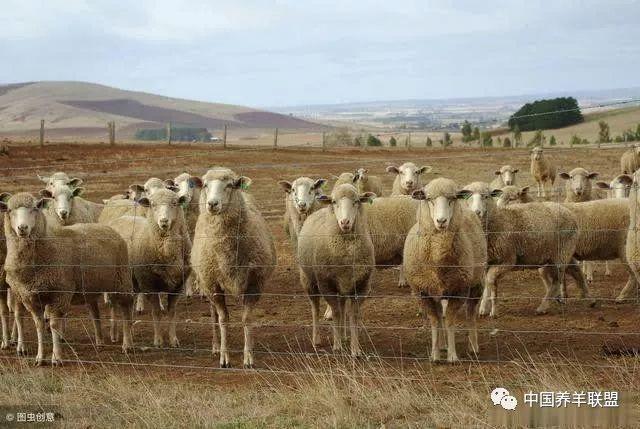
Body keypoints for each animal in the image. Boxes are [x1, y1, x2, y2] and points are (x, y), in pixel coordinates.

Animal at [0, 192, 134, 362]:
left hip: (122, 279)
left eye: (35, 208)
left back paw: (127, 344)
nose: (22, 228)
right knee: (95, 313)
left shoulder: (60, 293)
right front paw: (40, 357)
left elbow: (54, 325)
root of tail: (107, 227)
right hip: (90, 286)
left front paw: (56, 357)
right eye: (10, 210)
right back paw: (99, 342)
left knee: (126, 310)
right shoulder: (30, 297)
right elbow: (39, 326)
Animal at [192, 167, 278, 368]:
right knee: (213, 314)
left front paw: (248, 357)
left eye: (230, 185)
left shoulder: (254, 283)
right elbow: (223, 319)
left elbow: (247, 319)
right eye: (205, 185)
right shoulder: (214, 284)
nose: (212, 204)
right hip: (206, 281)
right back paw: (215, 346)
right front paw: (224, 357)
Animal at [298, 182, 378, 352]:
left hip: (343, 284)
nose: (345, 222)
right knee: (315, 309)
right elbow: (335, 313)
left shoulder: (362, 285)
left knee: (342, 307)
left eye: (356, 201)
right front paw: (337, 346)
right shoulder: (326, 284)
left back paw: (343, 336)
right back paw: (317, 339)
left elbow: (353, 315)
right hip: (309, 280)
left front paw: (355, 349)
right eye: (334, 202)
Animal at [402, 177, 488, 362]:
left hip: (476, 284)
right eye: (429, 199)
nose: (441, 221)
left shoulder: (459, 290)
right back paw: (441, 345)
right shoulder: (422, 291)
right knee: (441, 314)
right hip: (436, 289)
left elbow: (450, 321)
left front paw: (452, 356)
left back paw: (473, 346)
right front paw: (435, 355)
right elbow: (435, 321)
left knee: (471, 314)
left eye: (452, 199)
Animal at [462, 181, 584, 314]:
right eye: (468, 198)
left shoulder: (508, 260)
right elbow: (487, 284)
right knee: (563, 276)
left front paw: (492, 310)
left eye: (486, 196)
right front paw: (484, 308)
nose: (476, 212)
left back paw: (543, 307)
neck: (499, 221)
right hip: (556, 256)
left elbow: (490, 280)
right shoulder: (488, 261)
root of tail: (568, 212)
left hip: (561, 254)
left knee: (557, 281)